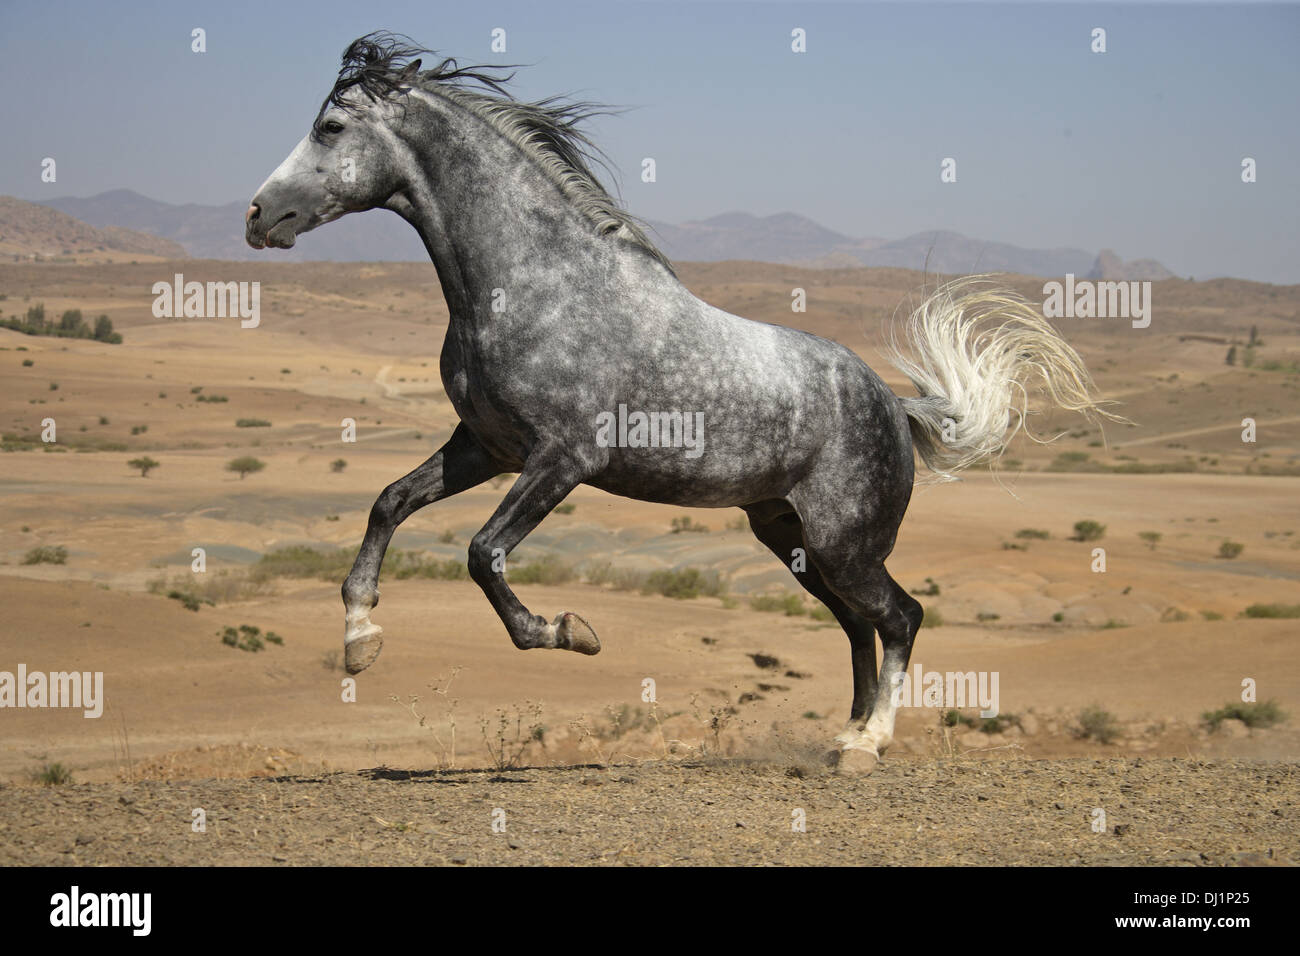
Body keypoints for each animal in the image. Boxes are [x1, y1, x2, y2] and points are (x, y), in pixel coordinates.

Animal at [244, 33, 1107, 775]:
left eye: (329, 127)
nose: (258, 216)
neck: (534, 286)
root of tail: (896, 409)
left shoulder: (563, 459)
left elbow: (483, 555)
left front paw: (570, 632)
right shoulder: (484, 447)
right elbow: (389, 503)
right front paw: (361, 638)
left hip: (846, 543)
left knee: (900, 618)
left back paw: (867, 747)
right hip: (792, 538)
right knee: (858, 625)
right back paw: (844, 736)